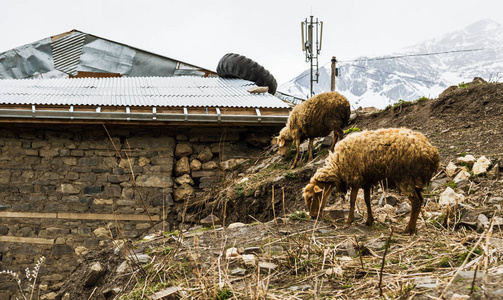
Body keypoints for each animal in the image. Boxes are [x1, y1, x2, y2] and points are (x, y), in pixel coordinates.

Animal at [304, 127, 440, 234]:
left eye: (311, 197)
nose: (313, 216)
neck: (338, 166)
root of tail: (433, 154)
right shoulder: (366, 181)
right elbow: (367, 201)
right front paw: (369, 220)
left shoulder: (356, 178)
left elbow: (352, 200)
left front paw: (349, 220)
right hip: (414, 180)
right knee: (420, 200)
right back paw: (414, 227)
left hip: (406, 178)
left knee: (415, 202)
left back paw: (408, 229)